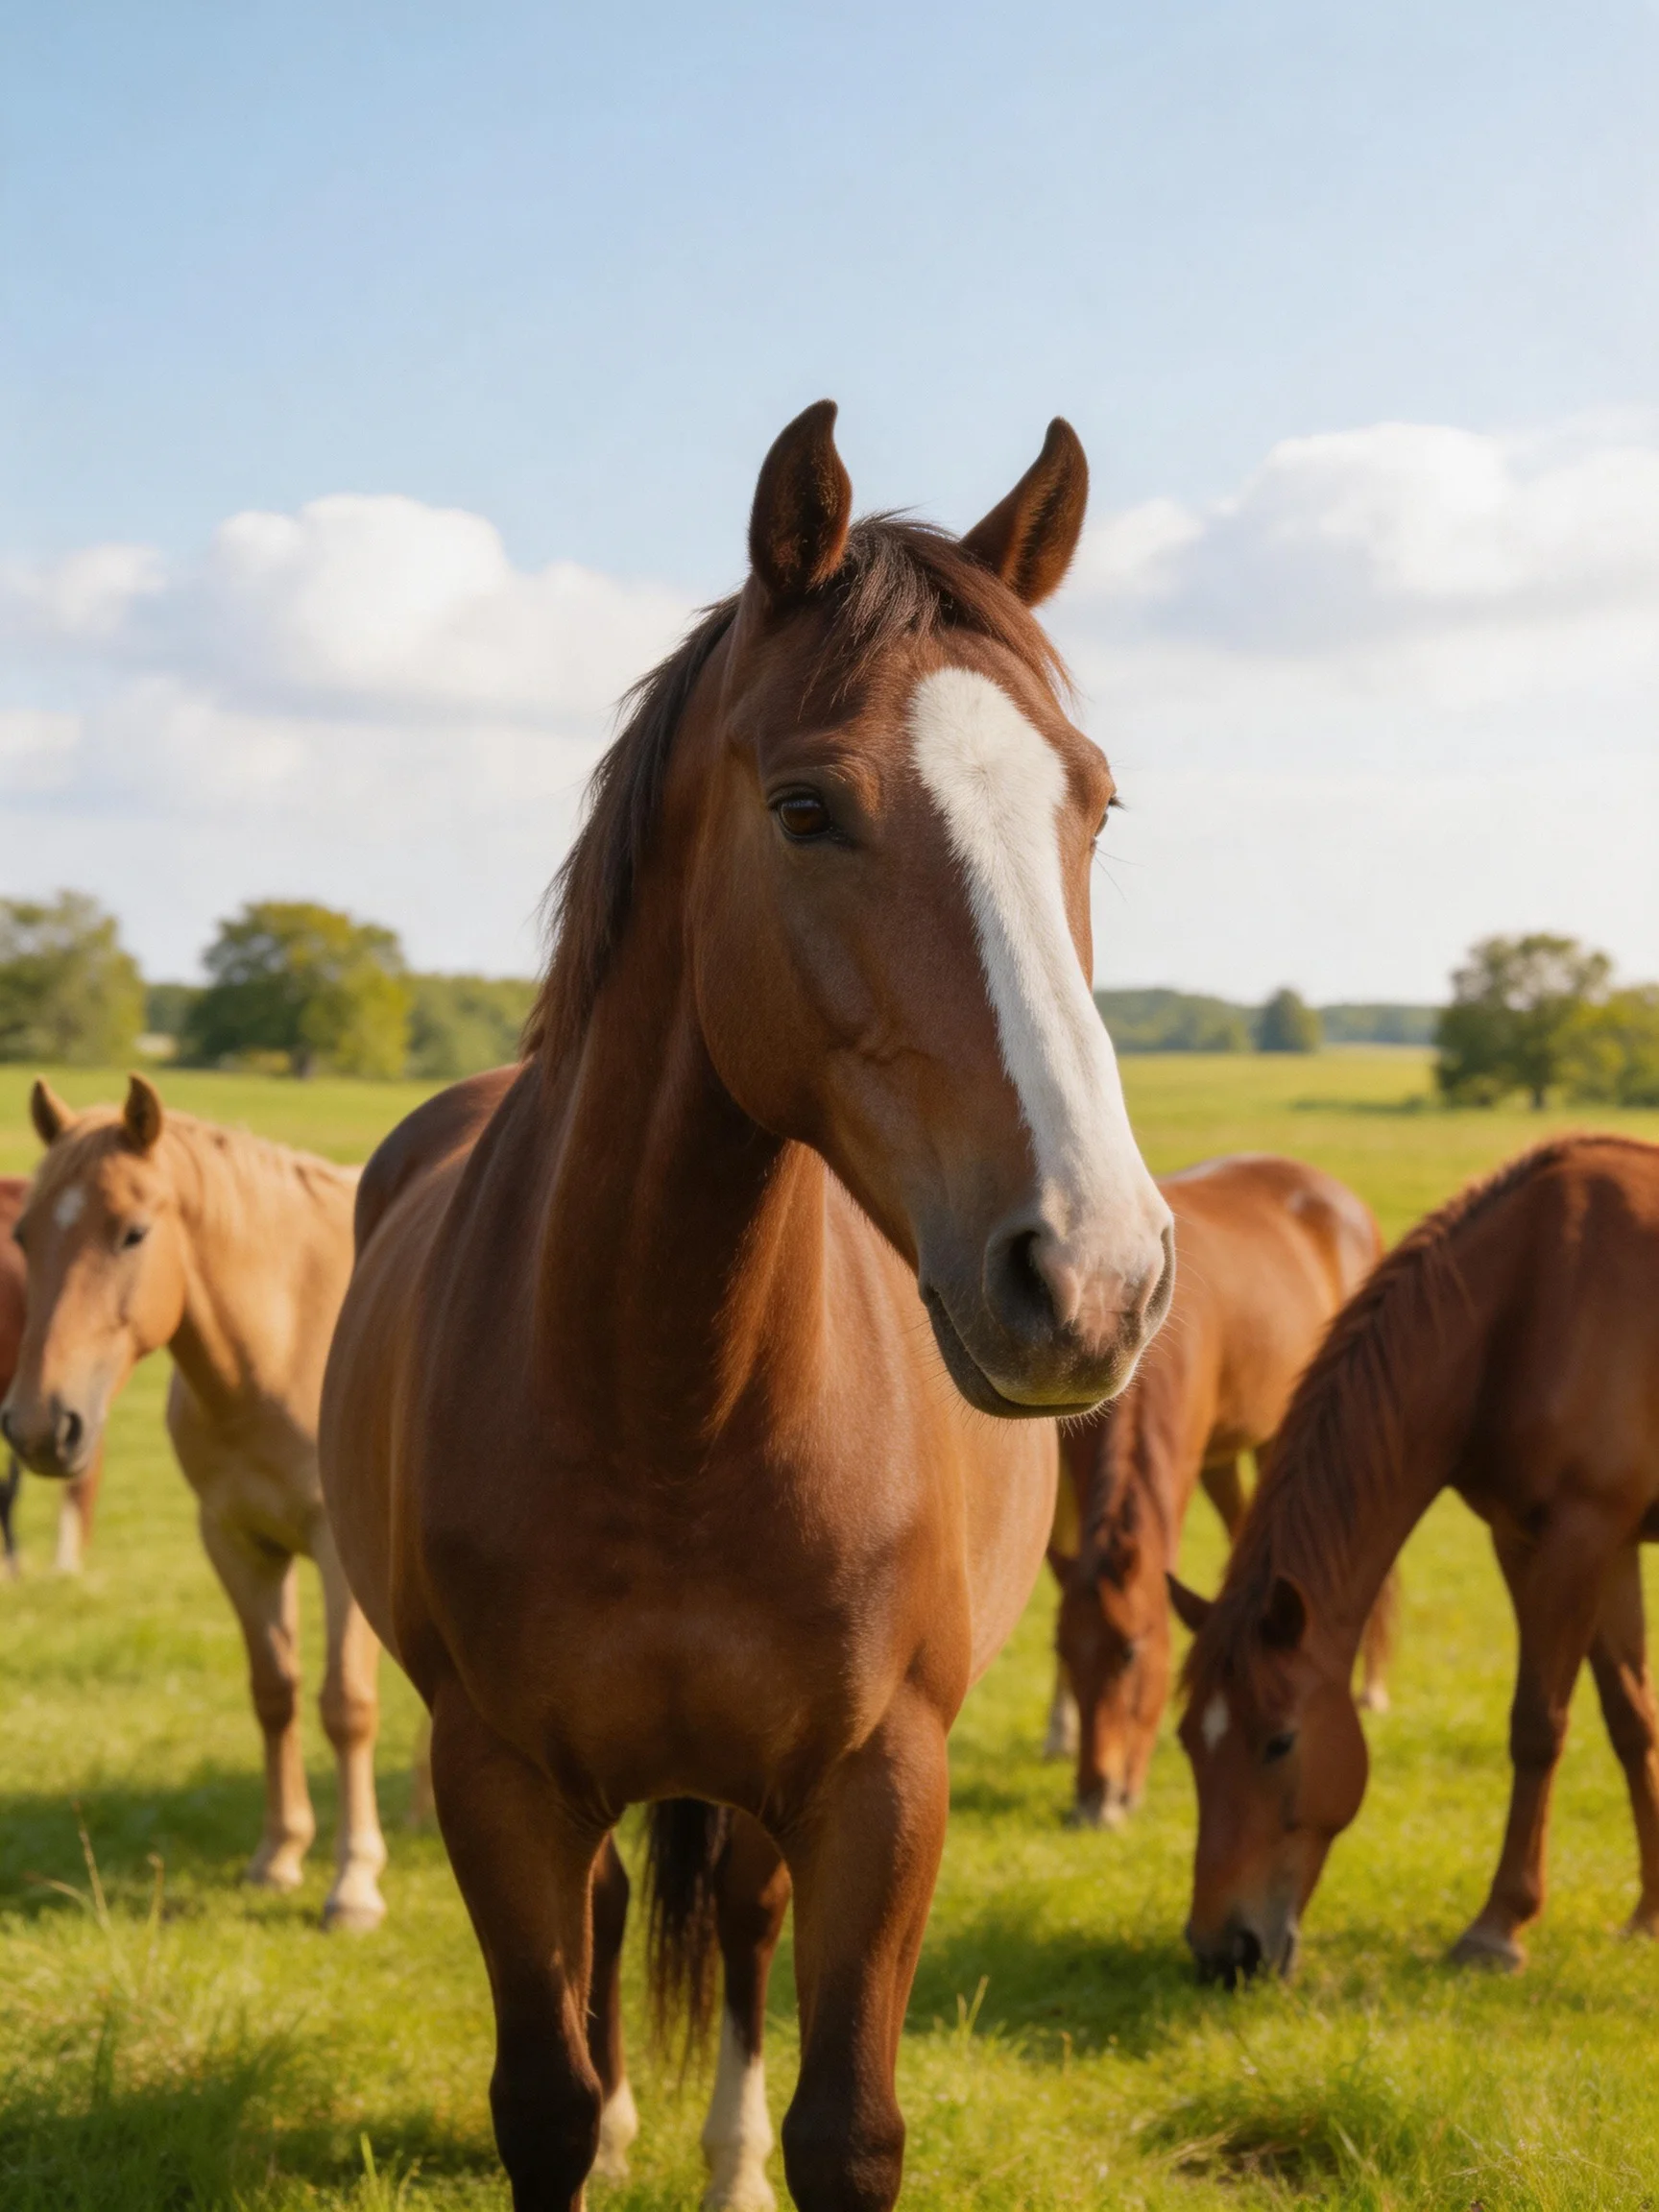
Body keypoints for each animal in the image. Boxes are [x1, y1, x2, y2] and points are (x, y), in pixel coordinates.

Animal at [318, 400, 1175, 2212]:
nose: (1092, 1273)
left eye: (1094, 803)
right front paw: (596, 2121)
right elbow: (543, 2099)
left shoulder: (880, 1783)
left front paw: (755, 2154)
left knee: (738, 1916)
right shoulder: (497, 1777)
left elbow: (843, 2118)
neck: (667, 1397)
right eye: (804, 808)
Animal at [1047, 1152, 1393, 1828]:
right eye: (1066, 1653)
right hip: (1226, 1457)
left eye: (1131, 1653)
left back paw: (1371, 1686)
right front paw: (1061, 1728)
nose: (1095, 1800)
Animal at [1172, 1134, 1659, 1983]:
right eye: (1188, 1742)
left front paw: (1498, 1926)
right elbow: (1632, 1718)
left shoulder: (1578, 1539)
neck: (1534, 1296)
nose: (1221, 1952)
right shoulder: (1568, 1541)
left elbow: (1538, 1724)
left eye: (1279, 1742)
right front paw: (1652, 1914)